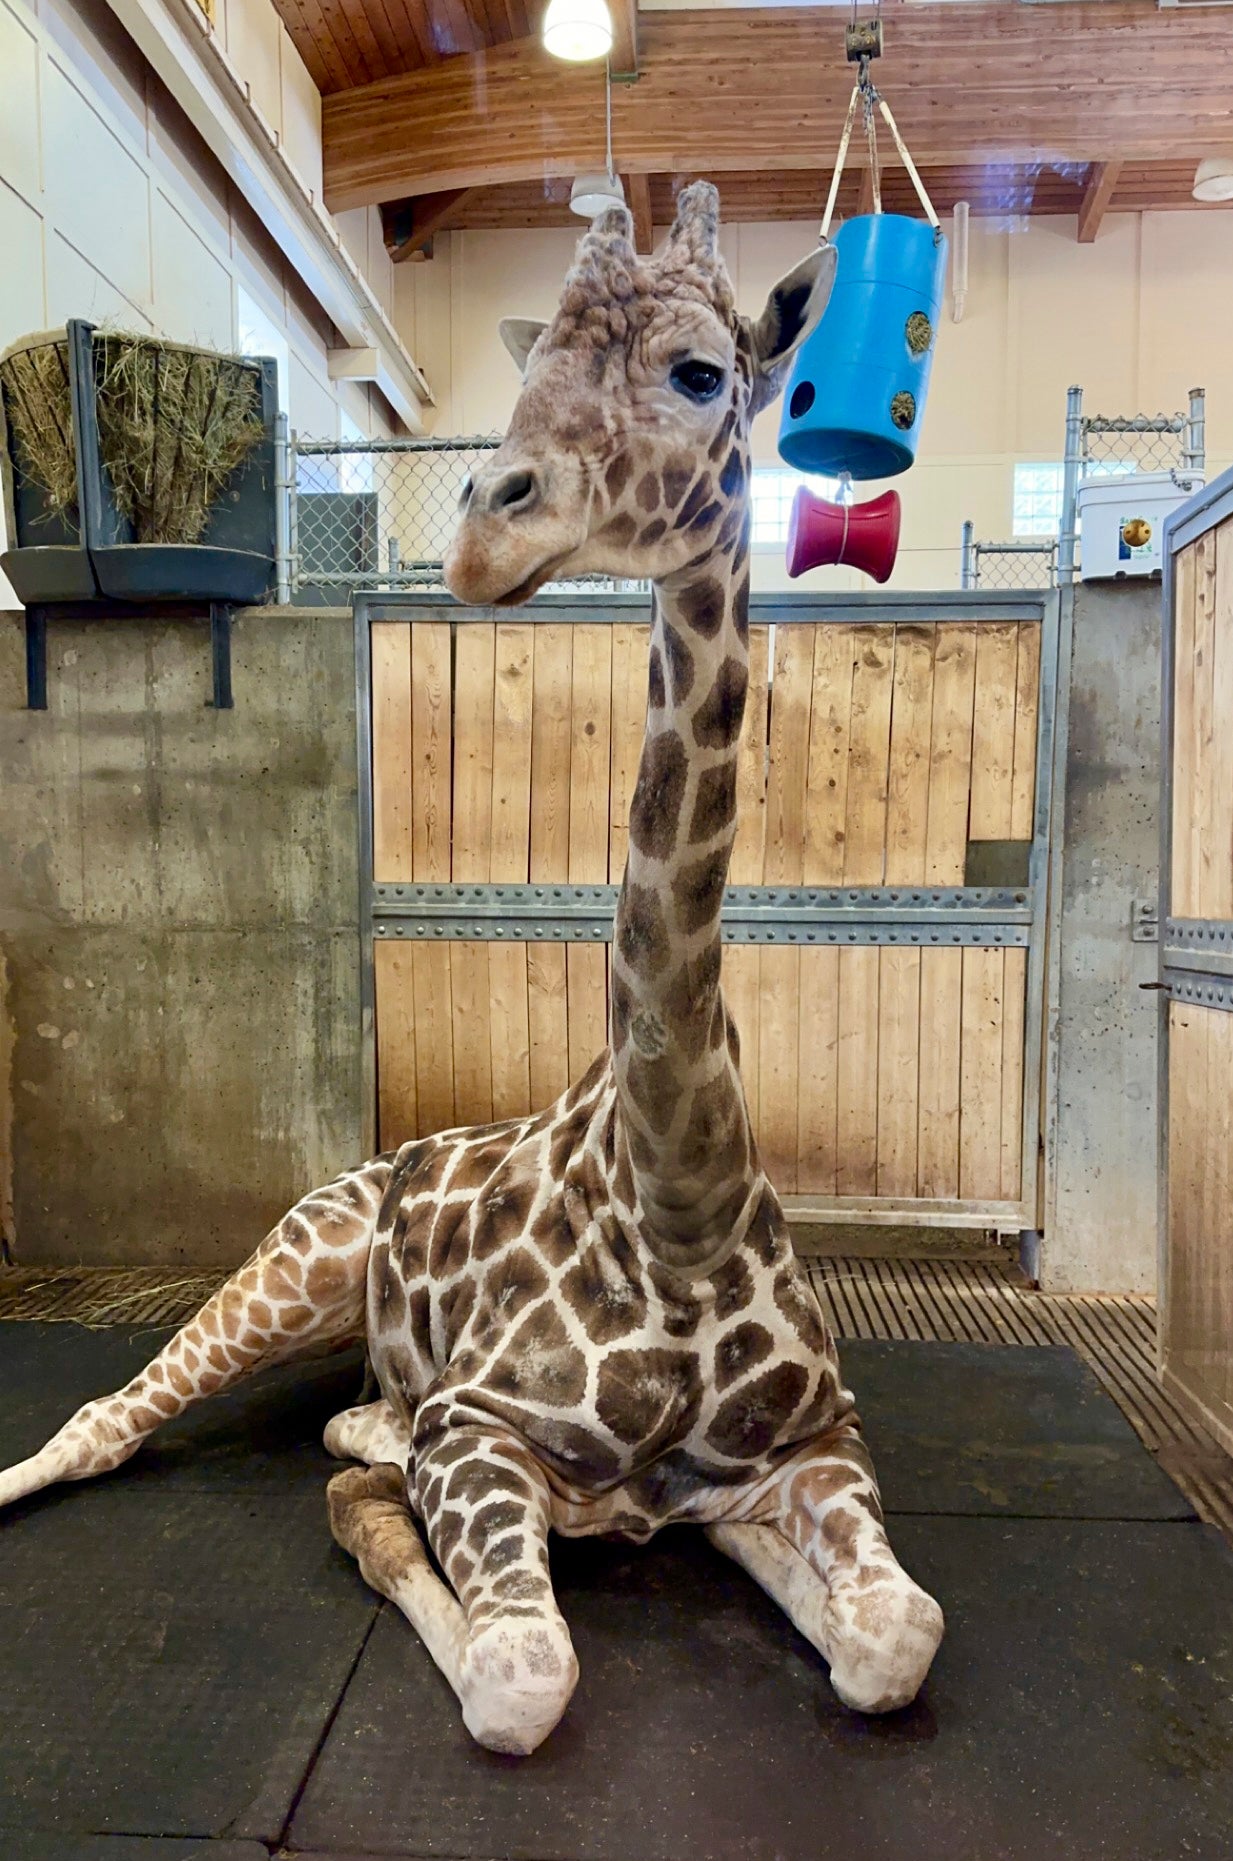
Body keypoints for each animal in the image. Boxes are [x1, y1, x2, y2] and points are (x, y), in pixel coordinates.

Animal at [0, 185, 943, 1756]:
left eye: (703, 372)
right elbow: (519, 1668)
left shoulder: (817, 1440)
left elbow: (891, 1638)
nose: (482, 542)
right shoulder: (482, 1435)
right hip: (293, 1261)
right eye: (532, 364)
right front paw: (393, 1501)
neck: (679, 1199)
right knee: (105, 1422)